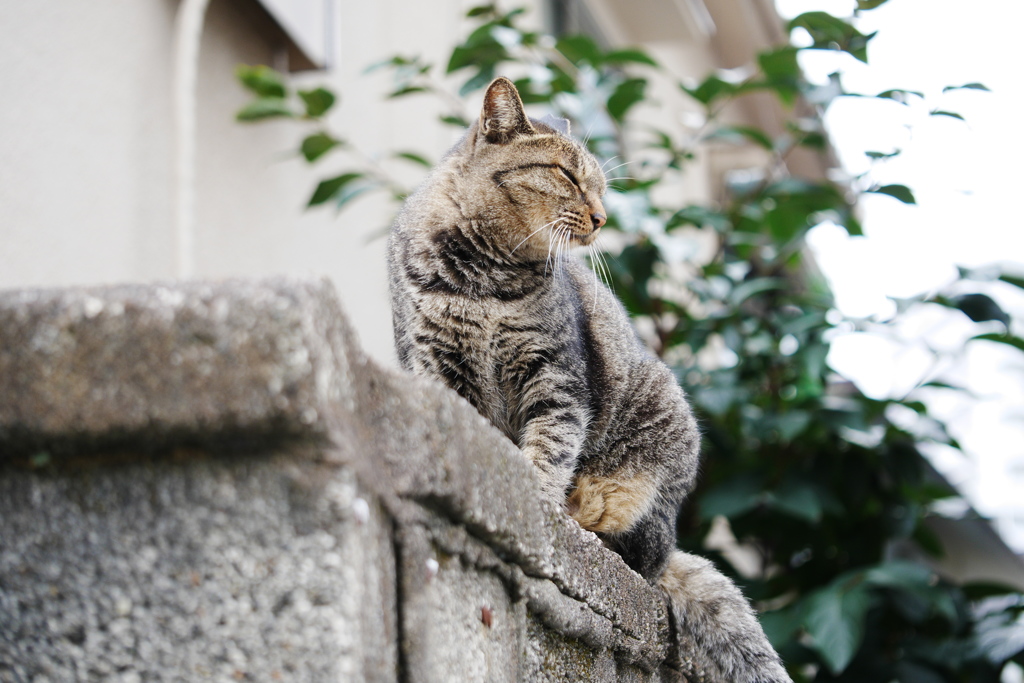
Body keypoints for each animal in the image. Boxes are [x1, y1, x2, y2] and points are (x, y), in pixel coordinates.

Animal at [385, 77, 790, 679]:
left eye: (602, 189)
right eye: (568, 176)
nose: (601, 217)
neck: (483, 280)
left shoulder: (555, 377)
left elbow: (549, 449)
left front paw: (537, 496)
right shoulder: (435, 366)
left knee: (638, 550)